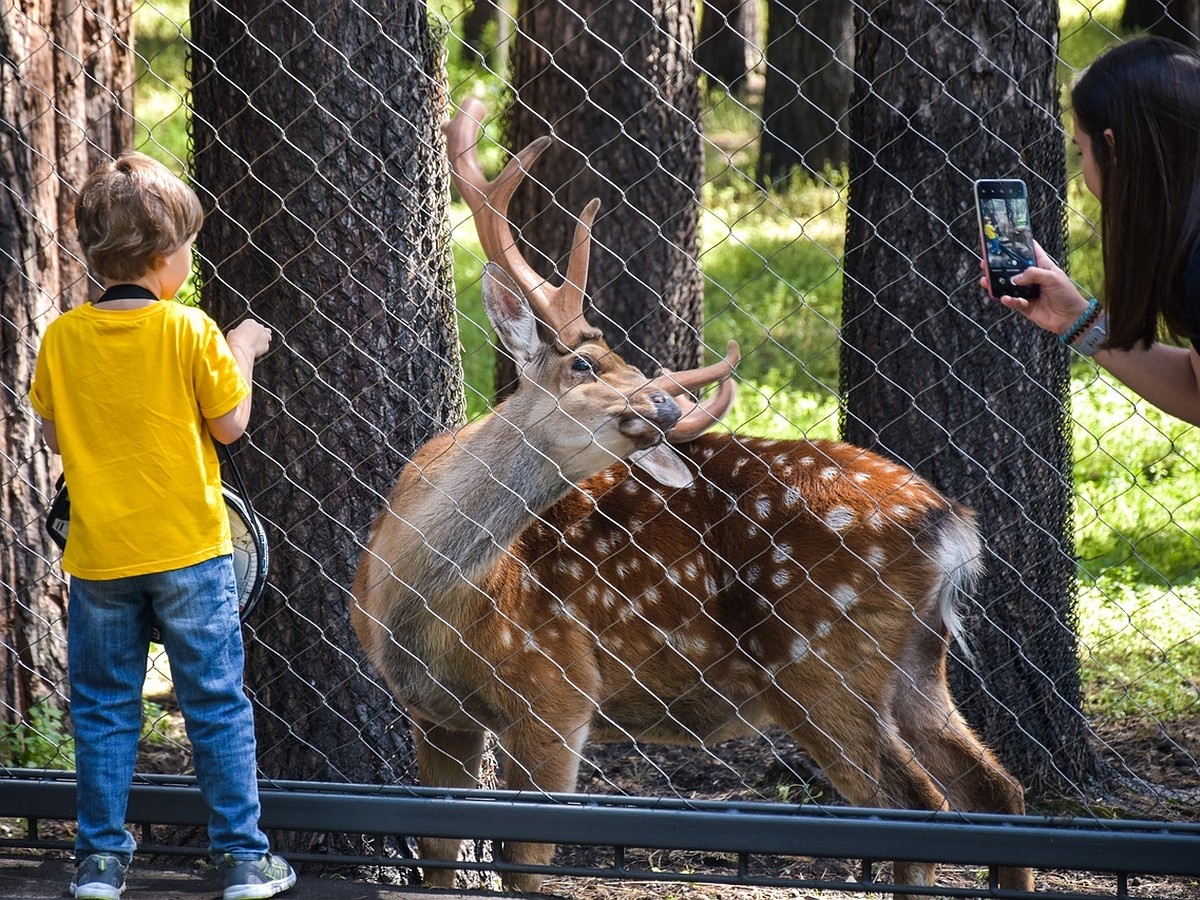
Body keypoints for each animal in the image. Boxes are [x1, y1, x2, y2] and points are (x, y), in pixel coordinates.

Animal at [348, 95, 1032, 897]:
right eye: (584, 364)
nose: (667, 408)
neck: (415, 606)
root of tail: (950, 523)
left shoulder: (554, 689)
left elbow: (527, 867)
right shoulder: (438, 717)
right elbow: (437, 858)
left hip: (824, 660)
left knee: (918, 804)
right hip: (917, 661)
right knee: (995, 789)